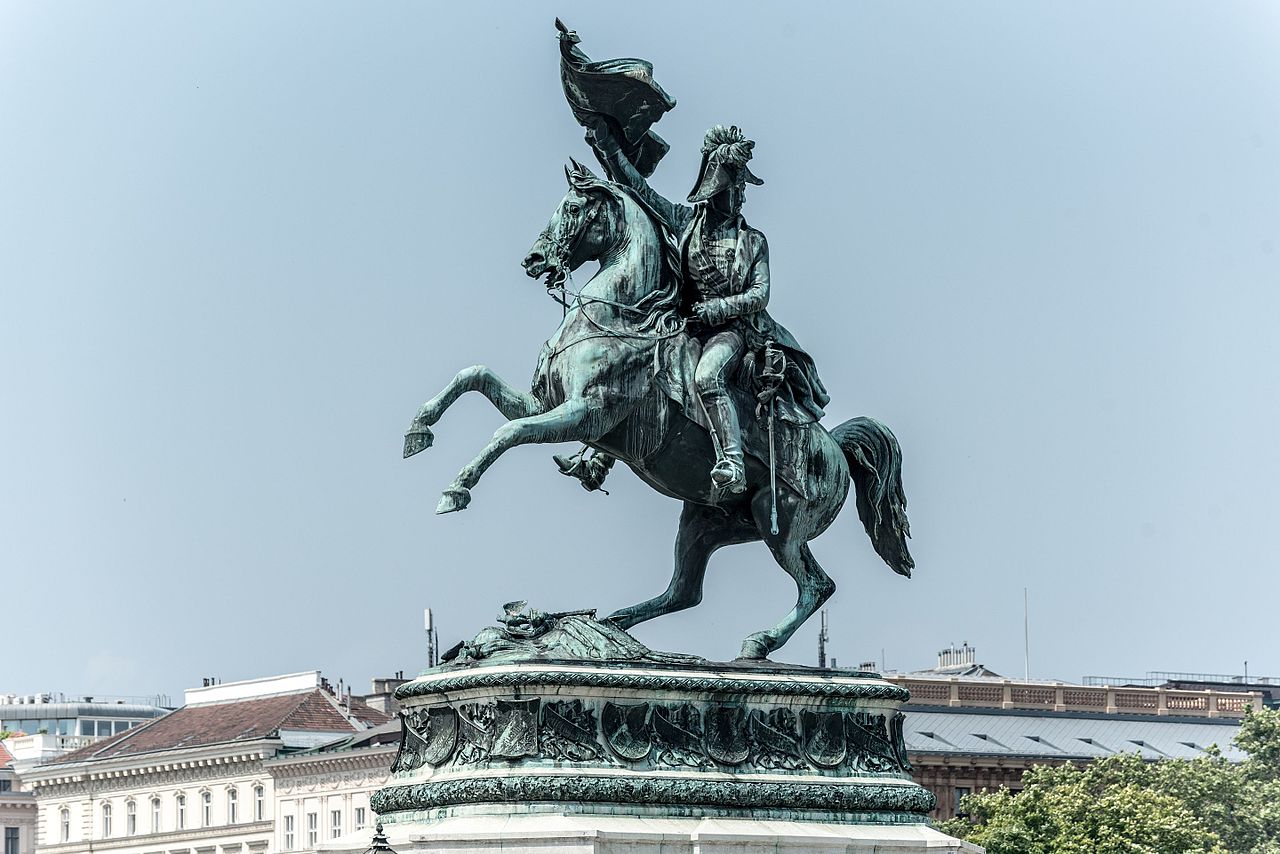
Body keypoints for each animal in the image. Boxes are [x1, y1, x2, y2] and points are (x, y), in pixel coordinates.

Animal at [399, 165, 911, 660]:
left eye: (571, 208)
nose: (534, 260)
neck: (622, 319)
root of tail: (836, 448)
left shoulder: (586, 412)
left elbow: (508, 431)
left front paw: (456, 491)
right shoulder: (549, 403)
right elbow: (474, 376)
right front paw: (418, 430)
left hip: (780, 523)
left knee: (816, 586)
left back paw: (756, 642)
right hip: (705, 522)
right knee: (684, 592)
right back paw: (613, 626)